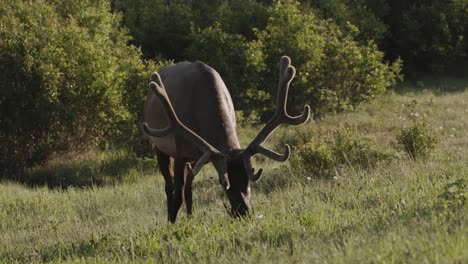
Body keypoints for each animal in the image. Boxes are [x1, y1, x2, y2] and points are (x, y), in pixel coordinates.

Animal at [143, 56, 310, 223]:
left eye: (249, 179)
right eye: (223, 182)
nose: (243, 211)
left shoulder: (199, 156)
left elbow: (186, 190)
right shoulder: (180, 151)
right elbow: (177, 195)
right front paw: (171, 223)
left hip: (194, 159)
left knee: (188, 189)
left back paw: (190, 217)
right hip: (160, 146)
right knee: (169, 186)